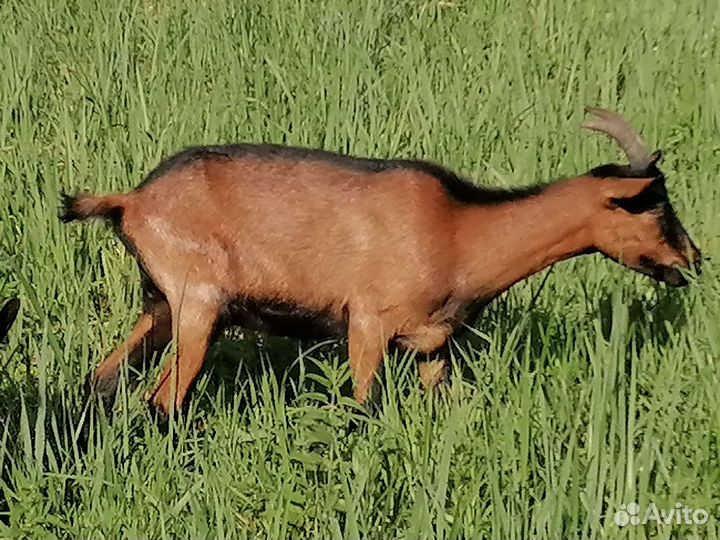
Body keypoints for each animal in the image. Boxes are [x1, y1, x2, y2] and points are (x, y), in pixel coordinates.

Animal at [61, 107, 701, 415]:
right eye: (653, 205)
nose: (693, 259)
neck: (461, 230)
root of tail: (133, 200)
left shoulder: (434, 345)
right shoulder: (366, 324)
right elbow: (362, 407)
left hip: (159, 305)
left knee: (104, 379)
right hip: (199, 303)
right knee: (162, 400)